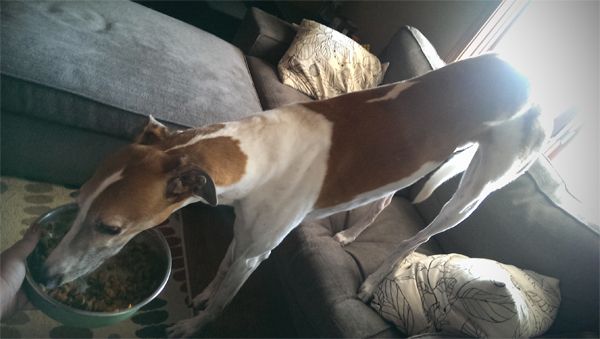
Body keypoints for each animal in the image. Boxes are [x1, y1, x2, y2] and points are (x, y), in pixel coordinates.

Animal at [37, 53, 548, 338]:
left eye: (110, 227)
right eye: (77, 200)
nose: (44, 273)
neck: (263, 150)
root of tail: (525, 78)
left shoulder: (257, 251)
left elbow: (226, 297)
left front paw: (192, 324)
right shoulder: (245, 229)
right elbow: (221, 269)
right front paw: (202, 294)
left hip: (472, 193)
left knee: (415, 238)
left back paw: (370, 282)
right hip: (410, 169)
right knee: (383, 203)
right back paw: (349, 238)